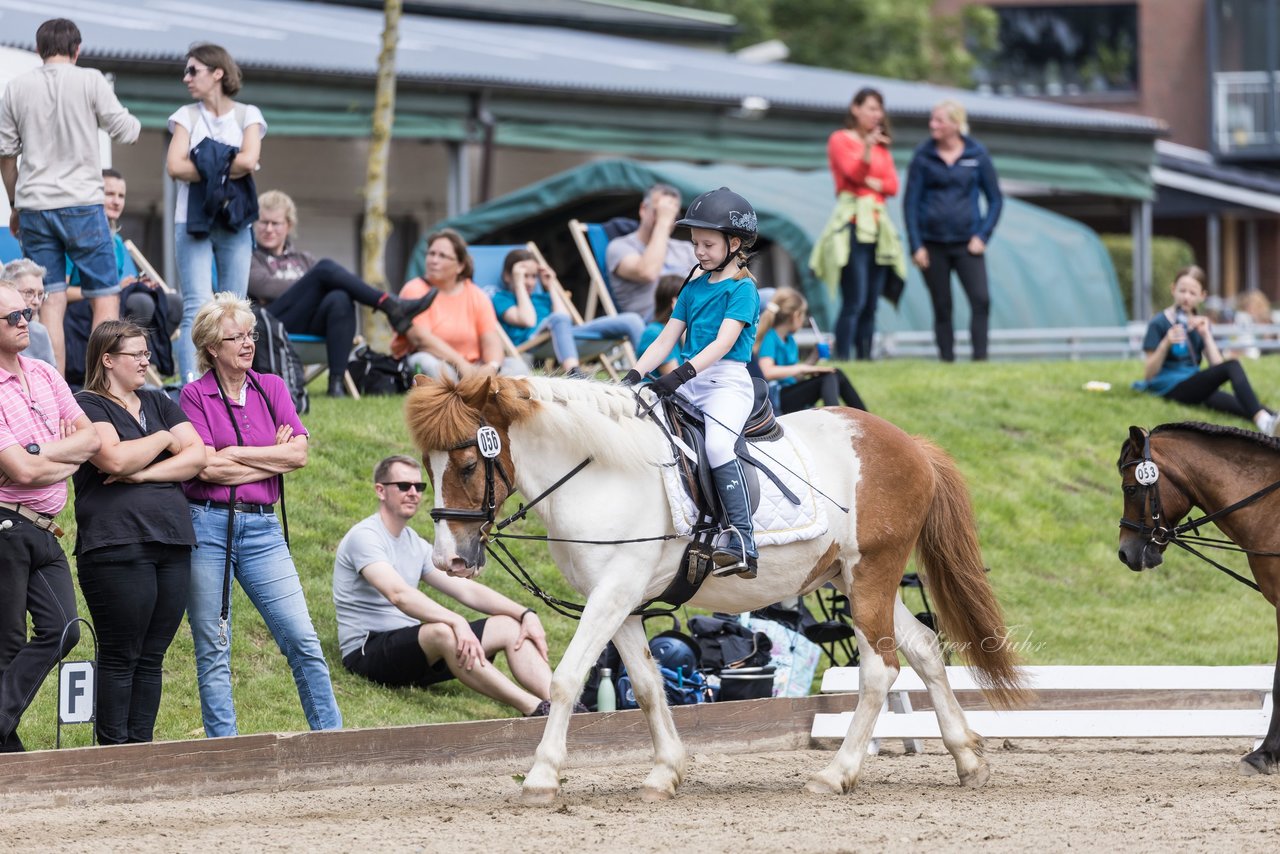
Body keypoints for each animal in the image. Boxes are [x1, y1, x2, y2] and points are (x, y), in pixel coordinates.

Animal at [404, 376, 1024, 804]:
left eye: (467, 463)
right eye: (426, 468)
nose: (449, 559)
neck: (597, 472)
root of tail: (909, 444)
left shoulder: (612, 594)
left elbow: (566, 679)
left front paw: (541, 777)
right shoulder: (623, 602)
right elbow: (648, 685)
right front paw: (664, 772)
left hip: (871, 573)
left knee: (879, 669)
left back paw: (835, 774)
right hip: (856, 579)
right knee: (923, 648)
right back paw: (967, 759)